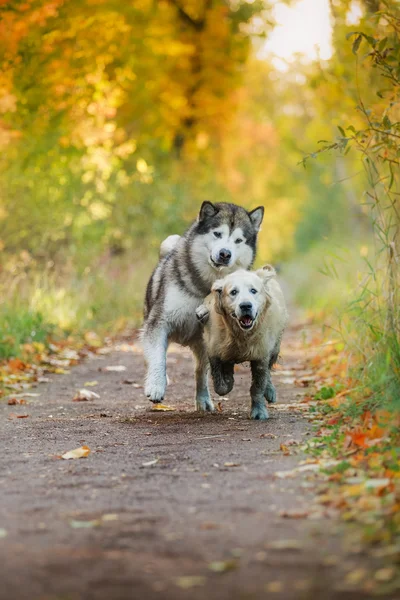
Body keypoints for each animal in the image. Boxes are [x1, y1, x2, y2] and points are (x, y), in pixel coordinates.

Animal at [196, 264, 288, 420]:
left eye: (253, 291)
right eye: (233, 292)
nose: (245, 305)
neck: (242, 335)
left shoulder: (261, 354)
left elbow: (258, 386)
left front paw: (259, 411)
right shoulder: (214, 350)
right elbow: (220, 384)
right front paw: (228, 379)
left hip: (275, 347)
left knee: (269, 371)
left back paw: (270, 391)